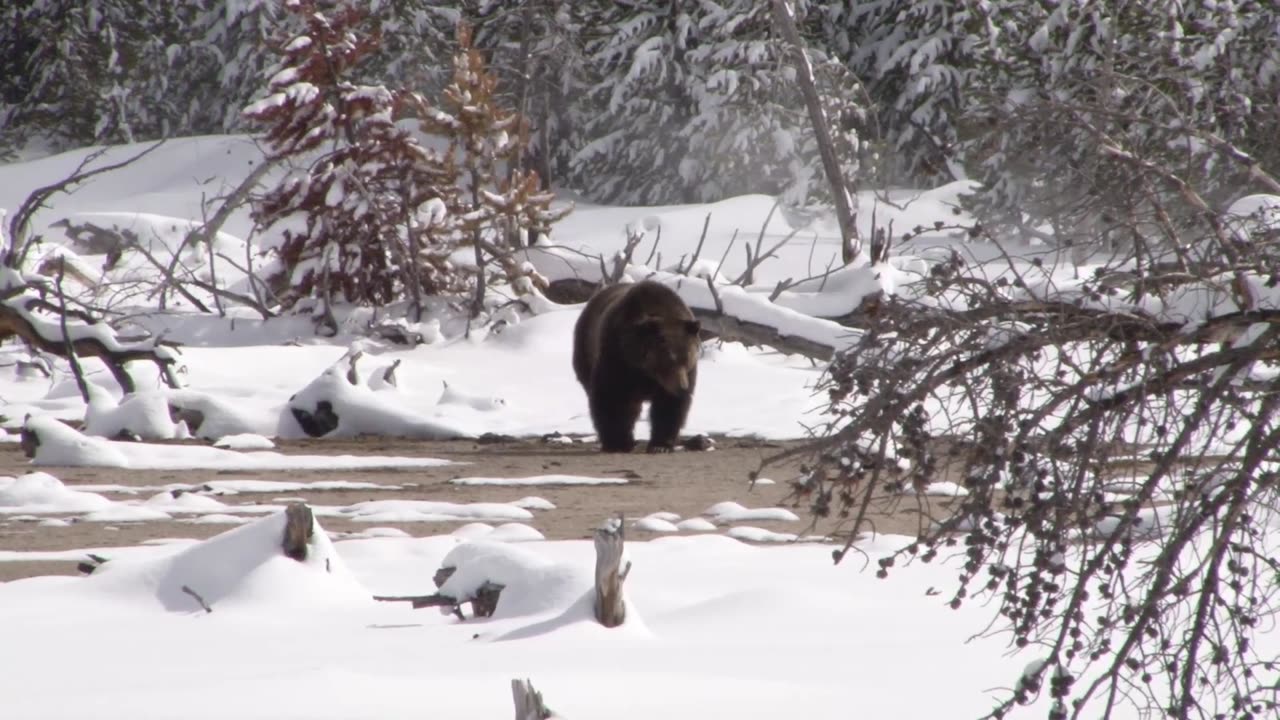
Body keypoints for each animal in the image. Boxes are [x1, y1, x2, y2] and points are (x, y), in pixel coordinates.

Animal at [572, 280, 701, 453]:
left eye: (687, 359)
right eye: (670, 359)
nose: (682, 387)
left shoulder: (681, 377)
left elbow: (670, 407)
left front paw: (661, 445)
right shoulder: (618, 357)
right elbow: (610, 397)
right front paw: (617, 442)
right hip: (585, 349)